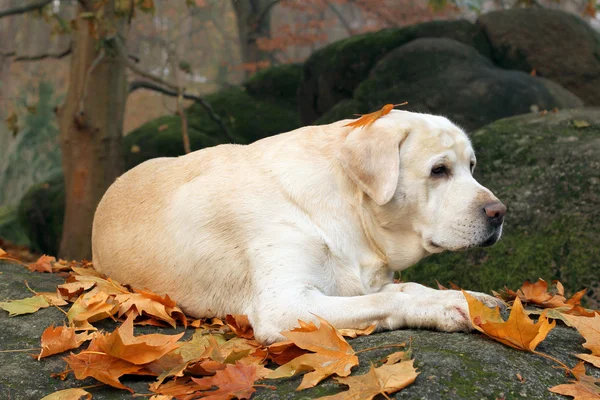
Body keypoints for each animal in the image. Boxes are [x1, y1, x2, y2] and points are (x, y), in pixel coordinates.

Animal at [92, 110, 506, 344]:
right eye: (439, 170)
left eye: (471, 166)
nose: (499, 212)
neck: (348, 209)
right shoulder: (284, 305)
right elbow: (388, 300)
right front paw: (449, 306)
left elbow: (408, 288)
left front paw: (469, 297)